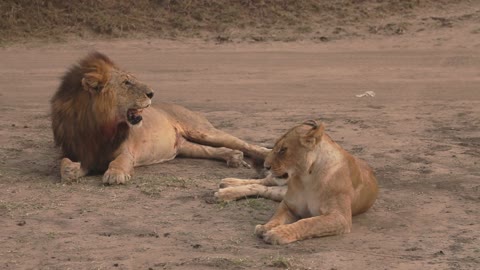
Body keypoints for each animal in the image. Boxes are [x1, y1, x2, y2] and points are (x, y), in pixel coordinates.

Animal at [53, 51, 270, 185]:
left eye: (131, 79)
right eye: (126, 83)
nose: (151, 93)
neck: (99, 125)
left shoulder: (127, 151)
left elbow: (119, 161)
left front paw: (115, 174)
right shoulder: (79, 151)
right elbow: (63, 164)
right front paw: (71, 171)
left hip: (203, 131)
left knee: (247, 145)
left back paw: (265, 156)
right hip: (184, 147)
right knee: (213, 150)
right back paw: (233, 157)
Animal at [215, 120, 378, 245]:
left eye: (283, 149)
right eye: (275, 146)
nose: (266, 166)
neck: (306, 178)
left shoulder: (340, 217)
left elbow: (308, 223)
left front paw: (278, 233)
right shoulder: (288, 204)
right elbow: (277, 217)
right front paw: (266, 227)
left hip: (280, 191)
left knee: (262, 188)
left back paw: (225, 189)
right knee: (262, 182)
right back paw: (226, 185)